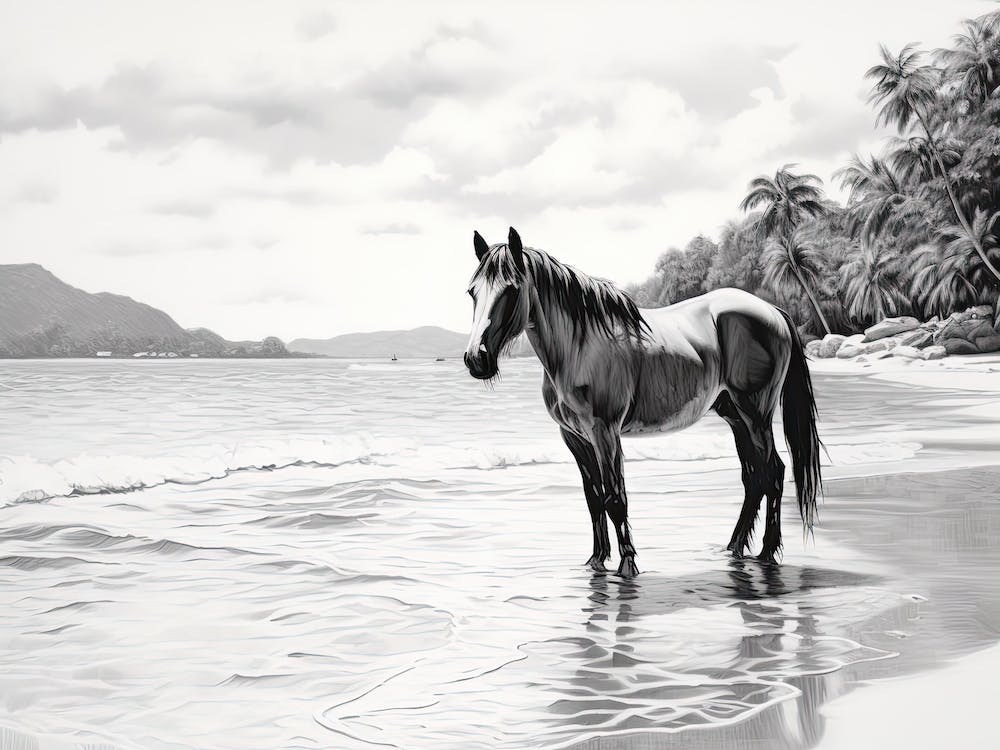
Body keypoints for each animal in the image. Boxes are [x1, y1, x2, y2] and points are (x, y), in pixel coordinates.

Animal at [463, 227, 822, 579]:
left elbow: (615, 498)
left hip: (756, 413)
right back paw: (734, 549)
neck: (579, 348)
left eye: (511, 290)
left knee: (774, 473)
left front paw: (627, 566)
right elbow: (594, 499)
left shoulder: (605, 432)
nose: (476, 359)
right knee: (754, 477)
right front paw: (596, 562)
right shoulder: (574, 437)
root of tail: (772, 311)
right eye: (472, 292)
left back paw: (766, 554)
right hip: (735, 415)